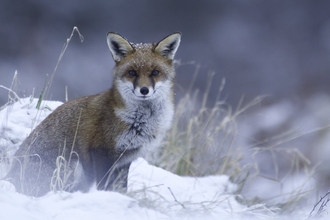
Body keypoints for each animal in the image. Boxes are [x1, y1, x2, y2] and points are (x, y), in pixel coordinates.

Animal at [3, 31, 182, 197]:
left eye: (155, 72)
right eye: (132, 73)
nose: (144, 90)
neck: (139, 121)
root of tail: (10, 176)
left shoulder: (125, 160)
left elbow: (121, 189)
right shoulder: (101, 151)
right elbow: (104, 186)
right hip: (73, 165)